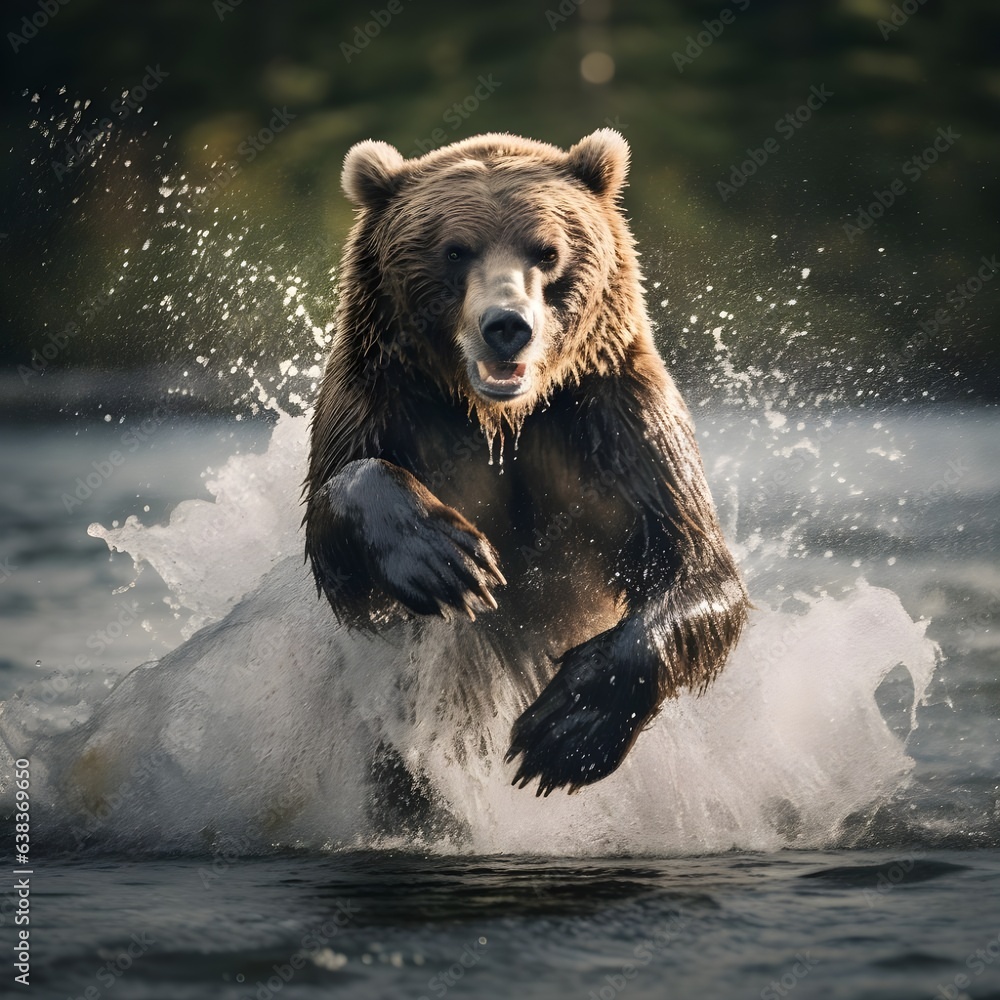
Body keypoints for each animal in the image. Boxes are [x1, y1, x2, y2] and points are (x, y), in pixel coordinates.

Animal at [303, 128, 749, 797]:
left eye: (548, 250)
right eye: (454, 250)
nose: (507, 326)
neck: (503, 417)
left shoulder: (617, 420)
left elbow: (696, 564)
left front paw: (571, 727)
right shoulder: (383, 403)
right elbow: (341, 527)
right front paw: (449, 560)